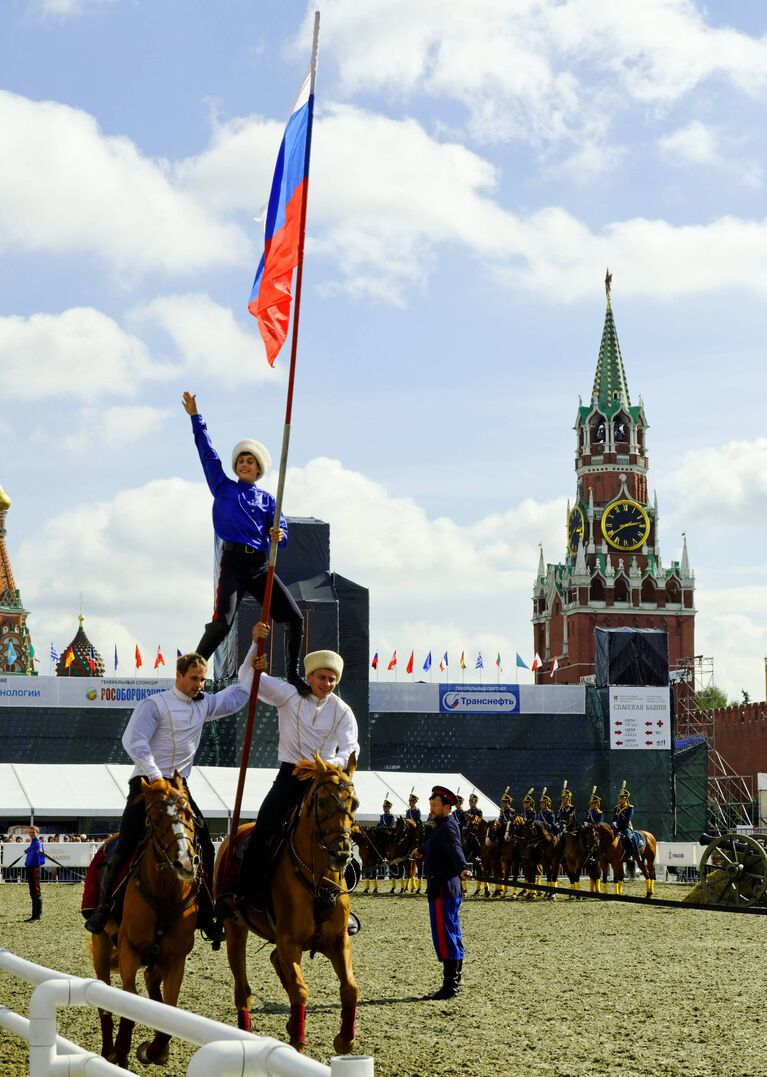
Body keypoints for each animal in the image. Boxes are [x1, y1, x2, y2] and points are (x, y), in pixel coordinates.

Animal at [89, 775, 200, 1068]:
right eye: (156, 819)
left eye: (188, 814)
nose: (185, 863)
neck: (165, 896)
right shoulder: (129, 951)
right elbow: (128, 1004)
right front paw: (121, 1051)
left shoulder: (175, 959)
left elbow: (169, 1010)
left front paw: (153, 1051)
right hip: (101, 945)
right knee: (105, 1000)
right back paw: (108, 1050)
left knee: (151, 981)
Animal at [215, 749, 359, 1051]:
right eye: (322, 801)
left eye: (355, 803)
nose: (341, 854)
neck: (317, 879)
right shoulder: (289, 942)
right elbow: (299, 990)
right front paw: (297, 1040)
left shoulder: (337, 940)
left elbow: (350, 987)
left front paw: (344, 1039)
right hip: (235, 930)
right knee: (243, 991)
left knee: (273, 959)